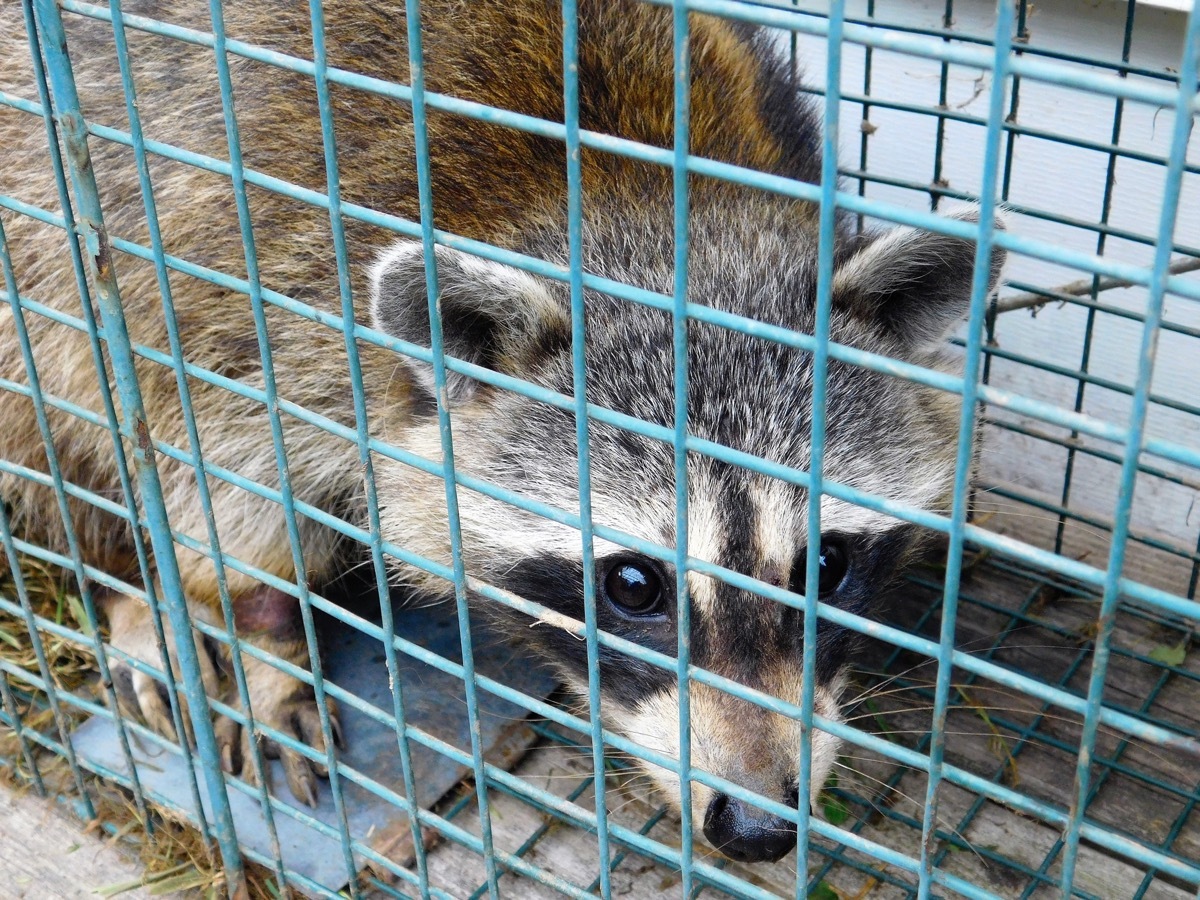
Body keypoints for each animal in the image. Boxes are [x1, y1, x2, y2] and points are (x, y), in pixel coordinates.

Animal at [0, 0, 1003, 864]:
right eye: (633, 585)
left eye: (827, 565)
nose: (757, 827)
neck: (634, 199)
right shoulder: (245, 282)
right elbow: (216, 467)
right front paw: (267, 641)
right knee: (57, 398)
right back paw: (128, 589)